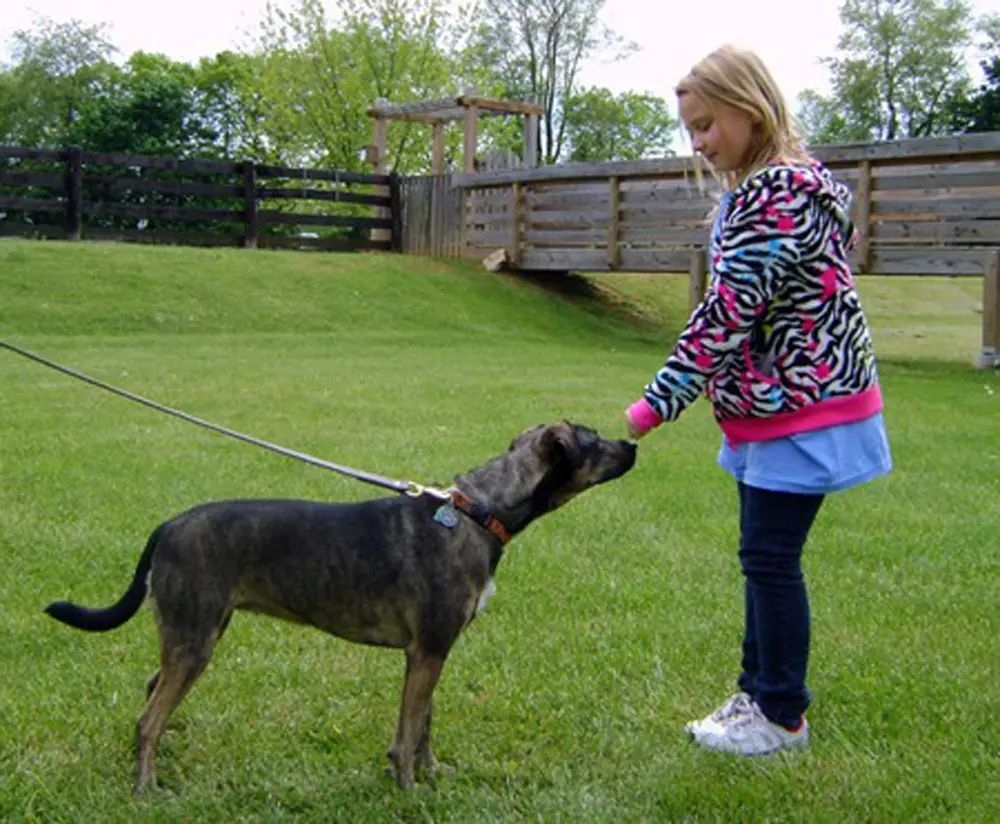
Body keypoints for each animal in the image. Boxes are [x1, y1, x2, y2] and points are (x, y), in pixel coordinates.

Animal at [45, 424, 632, 792]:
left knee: (151, 694)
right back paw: (147, 786)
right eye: (593, 438)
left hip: (196, 632)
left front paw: (432, 774)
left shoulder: (430, 653)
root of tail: (165, 528)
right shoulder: (428, 651)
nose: (631, 443)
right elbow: (407, 733)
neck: (477, 512)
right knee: (148, 718)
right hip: (195, 639)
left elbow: (424, 724)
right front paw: (408, 789)